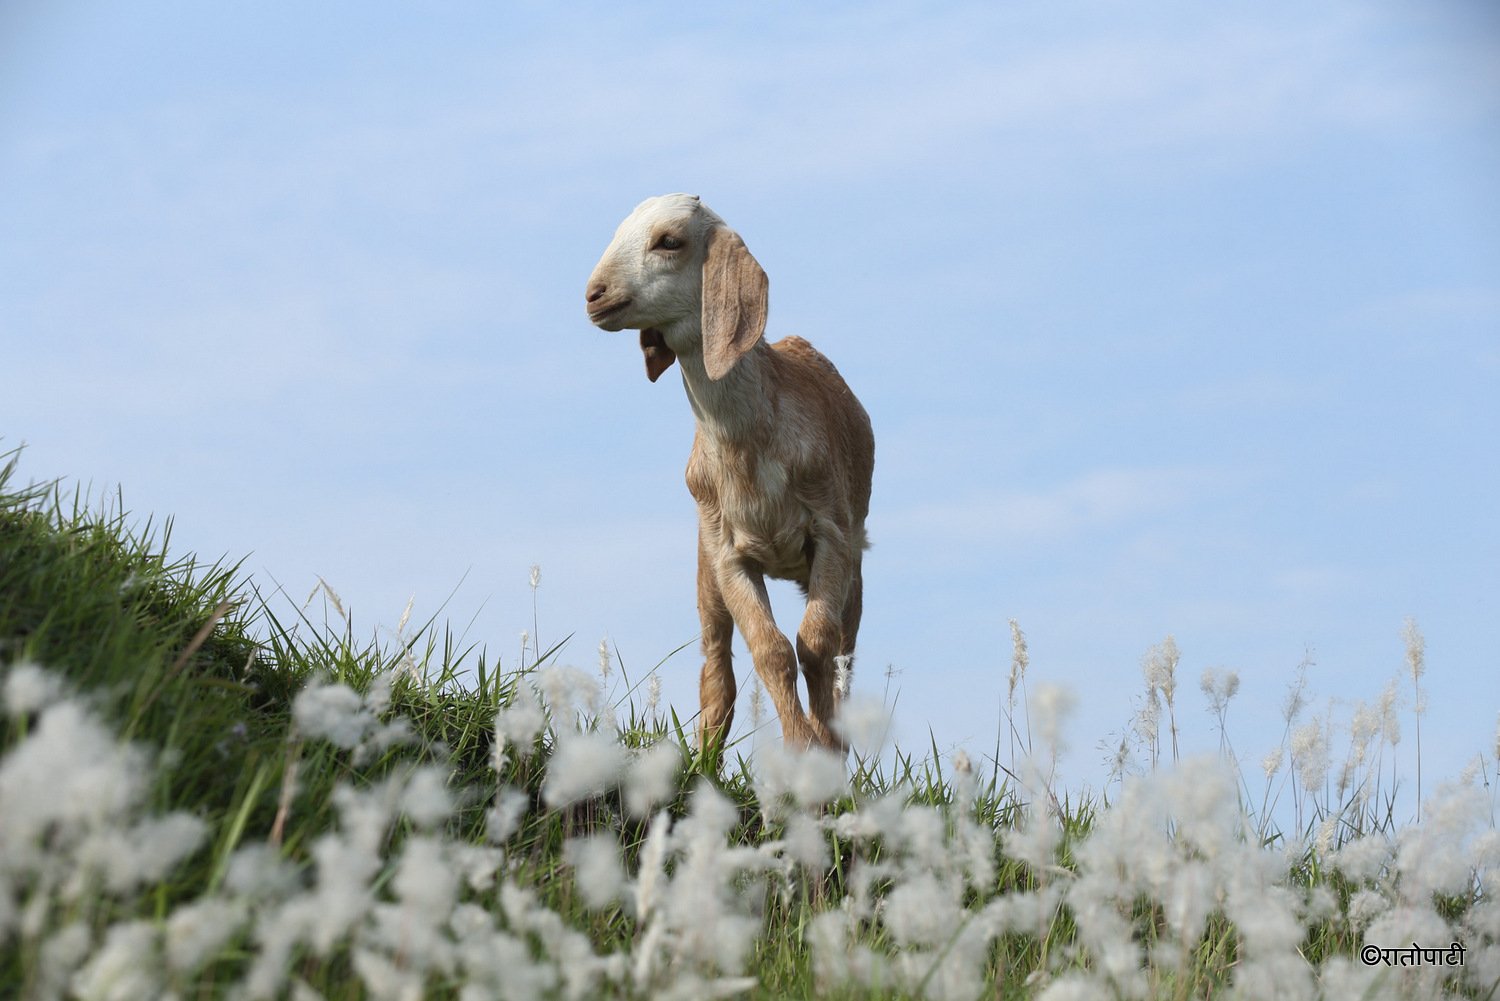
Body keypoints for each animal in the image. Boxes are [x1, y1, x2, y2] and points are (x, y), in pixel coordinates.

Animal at [584, 194, 873, 751]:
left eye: (669, 240)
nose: (594, 295)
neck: (749, 448)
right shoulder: (727, 554)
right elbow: (771, 651)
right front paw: (800, 747)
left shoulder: (832, 533)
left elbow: (816, 646)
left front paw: (823, 749)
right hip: (705, 568)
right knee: (716, 669)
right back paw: (704, 758)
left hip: (854, 567)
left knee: (844, 659)